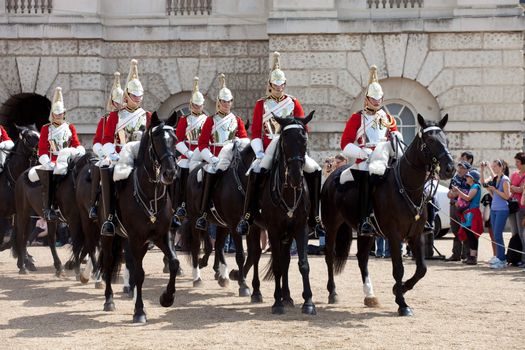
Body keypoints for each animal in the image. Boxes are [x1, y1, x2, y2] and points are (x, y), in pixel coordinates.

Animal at [97, 113, 179, 324]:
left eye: (174, 139)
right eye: (156, 139)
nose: (169, 173)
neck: (150, 195)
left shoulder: (161, 236)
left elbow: (174, 263)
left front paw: (167, 298)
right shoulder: (136, 238)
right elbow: (140, 273)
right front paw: (140, 311)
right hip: (109, 237)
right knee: (108, 263)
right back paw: (109, 300)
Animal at [256, 113, 316, 316]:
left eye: (304, 140)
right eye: (284, 142)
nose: (296, 177)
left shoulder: (300, 227)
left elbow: (303, 264)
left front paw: (308, 302)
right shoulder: (273, 230)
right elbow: (276, 266)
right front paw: (277, 303)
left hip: (287, 234)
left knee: (286, 261)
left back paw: (287, 296)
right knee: (255, 256)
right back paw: (255, 292)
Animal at [322, 113, 452, 316]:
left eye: (446, 139)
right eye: (430, 140)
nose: (450, 168)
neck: (407, 187)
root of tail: (332, 175)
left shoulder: (416, 235)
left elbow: (422, 269)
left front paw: (402, 289)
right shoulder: (394, 236)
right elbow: (398, 268)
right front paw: (402, 303)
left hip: (365, 232)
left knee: (362, 259)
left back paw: (370, 295)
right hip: (331, 225)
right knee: (329, 255)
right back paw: (333, 293)